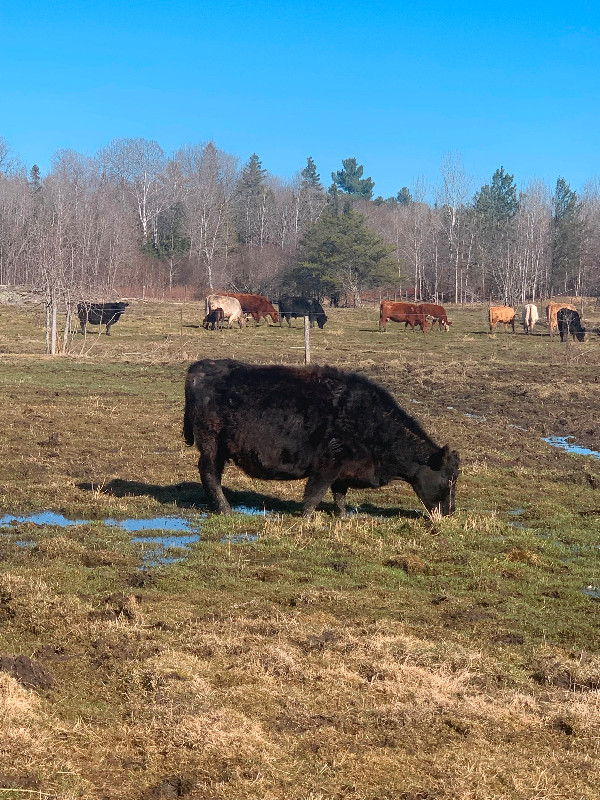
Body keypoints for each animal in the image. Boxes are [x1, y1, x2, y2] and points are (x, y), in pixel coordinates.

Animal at [183, 358, 460, 520]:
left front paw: (344, 516)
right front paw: (306, 518)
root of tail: (201, 367)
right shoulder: (328, 464)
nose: (450, 512)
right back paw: (225, 509)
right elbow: (315, 494)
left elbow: (340, 494)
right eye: (448, 480)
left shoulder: (345, 470)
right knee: (210, 474)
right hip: (212, 445)